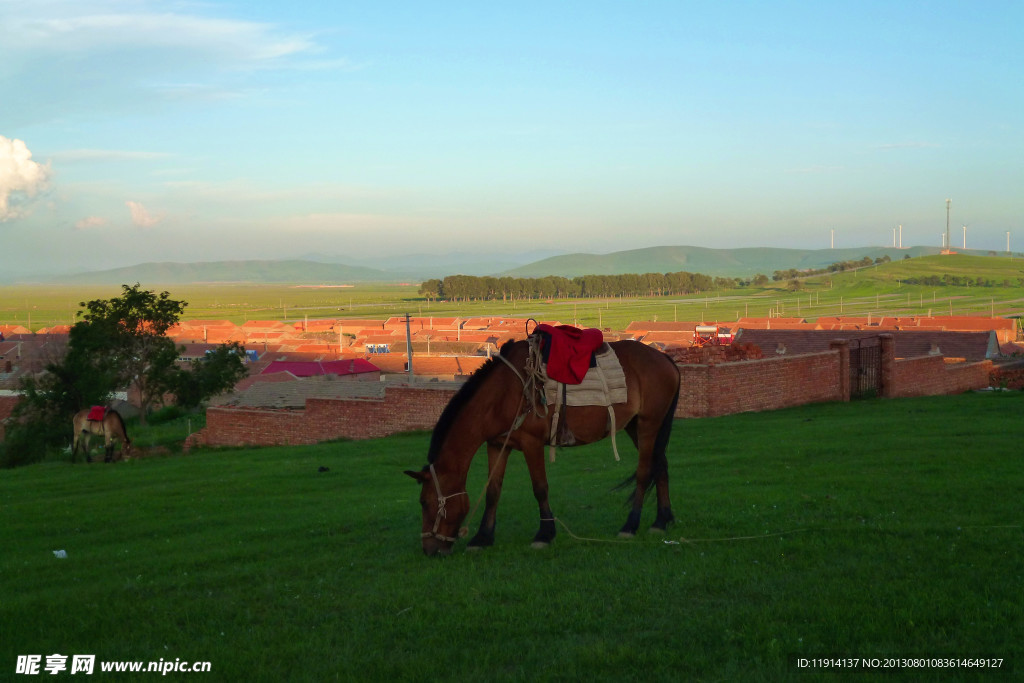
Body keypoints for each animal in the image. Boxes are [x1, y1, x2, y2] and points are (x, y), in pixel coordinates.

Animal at [405, 335, 679, 557]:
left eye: (425, 502)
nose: (428, 550)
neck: (501, 393)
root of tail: (664, 358)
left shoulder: (531, 443)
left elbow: (540, 488)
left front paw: (545, 534)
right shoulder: (497, 444)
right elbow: (493, 491)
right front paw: (482, 538)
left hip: (648, 424)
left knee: (644, 472)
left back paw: (630, 526)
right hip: (637, 427)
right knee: (661, 466)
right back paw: (661, 521)